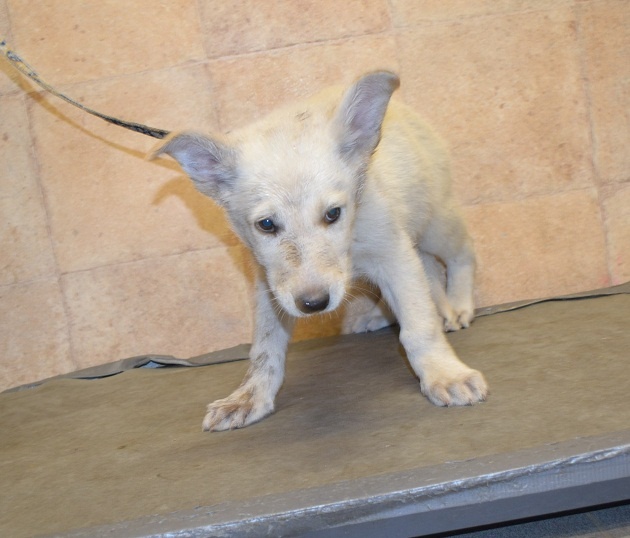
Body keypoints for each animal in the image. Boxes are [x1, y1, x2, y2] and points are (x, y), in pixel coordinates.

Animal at [153, 71, 488, 431]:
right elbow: (264, 350)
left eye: (333, 214)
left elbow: (419, 326)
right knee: (429, 272)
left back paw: (459, 307)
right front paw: (248, 398)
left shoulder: (393, 255)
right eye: (266, 224)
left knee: (462, 252)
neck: (352, 240)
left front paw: (445, 375)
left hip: (436, 221)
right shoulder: (272, 285)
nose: (314, 304)